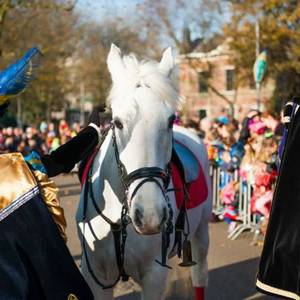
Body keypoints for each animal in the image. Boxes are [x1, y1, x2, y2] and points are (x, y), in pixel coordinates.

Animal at [77, 44, 212, 300]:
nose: (149, 215)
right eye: (117, 122)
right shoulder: (95, 276)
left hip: (201, 234)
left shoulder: (153, 276)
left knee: (200, 276)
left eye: (169, 120)